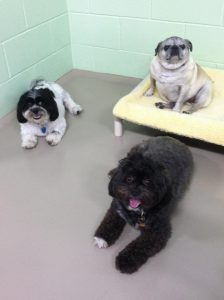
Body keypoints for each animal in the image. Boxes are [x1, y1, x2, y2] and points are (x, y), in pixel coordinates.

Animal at [93, 137, 193, 274]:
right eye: (129, 179)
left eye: (147, 181)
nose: (135, 190)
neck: (137, 212)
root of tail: (173, 138)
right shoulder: (117, 208)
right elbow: (109, 222)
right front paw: (102, 237)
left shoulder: (158, 231)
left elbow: (140, 246)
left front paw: (126, 260)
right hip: (134, 151)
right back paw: (113, 171)